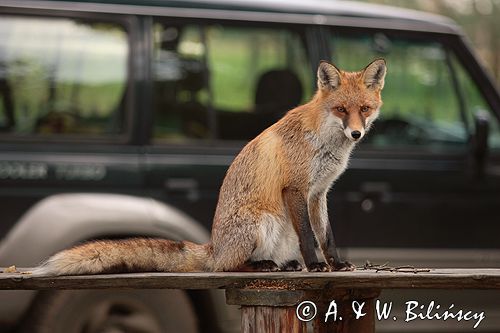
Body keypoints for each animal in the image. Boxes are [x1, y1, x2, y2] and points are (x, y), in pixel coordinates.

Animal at [33, 59, 388, 274]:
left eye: (365, 109)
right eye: (341, 109)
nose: (356, 133)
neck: (325, 143)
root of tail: (214, 246)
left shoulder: (319, 193)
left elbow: (326, 235)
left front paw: (336, 263)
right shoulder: (296, 188)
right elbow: (309, 237)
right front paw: (315, 266)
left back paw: (282, 264)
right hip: (262, 222)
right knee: (227, 267)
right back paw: (260, 266)